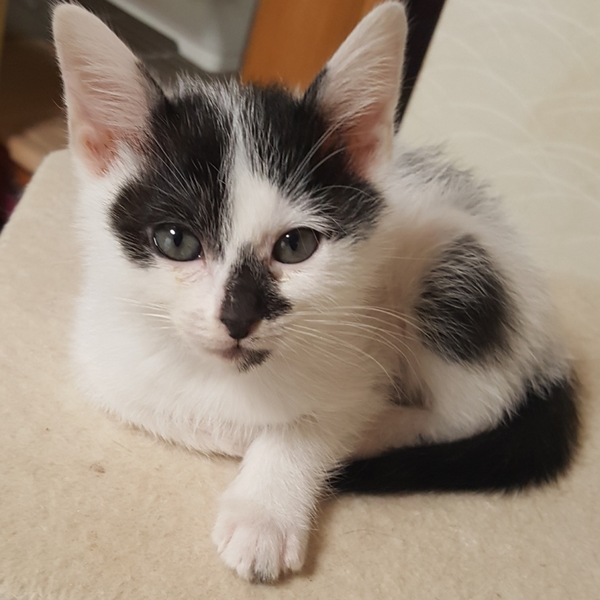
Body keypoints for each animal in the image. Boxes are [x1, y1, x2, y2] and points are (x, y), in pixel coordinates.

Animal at [53, 1, 579, 583]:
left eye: (296, 245)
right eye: (176, 241)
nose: (239, 318)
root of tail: (550, 346)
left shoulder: (360, 341)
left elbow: (324, 415)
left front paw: (264, 511)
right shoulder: (104, 361)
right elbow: (157, 407)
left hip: (455, 266)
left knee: (475, 409)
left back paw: (375, 428)